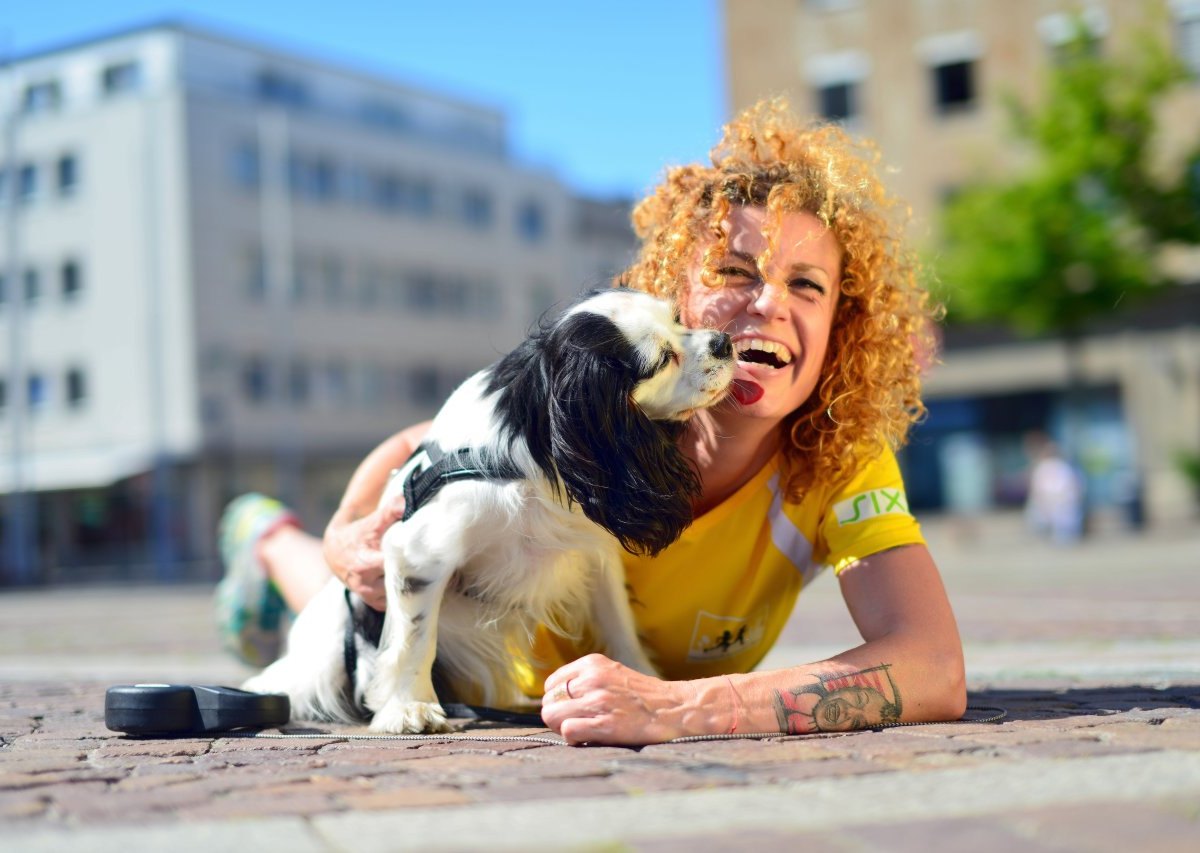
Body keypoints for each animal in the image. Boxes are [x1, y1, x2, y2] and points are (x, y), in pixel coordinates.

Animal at [242, 291, 729, 734]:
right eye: (663, 359)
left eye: (680, 319)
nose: (724, 341)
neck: (533, 431)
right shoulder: (418, 552)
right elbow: (416, 638)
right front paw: (409, 708)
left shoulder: (593, 555)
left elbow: (618, 625)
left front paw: (641, 683)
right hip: (321, 663)